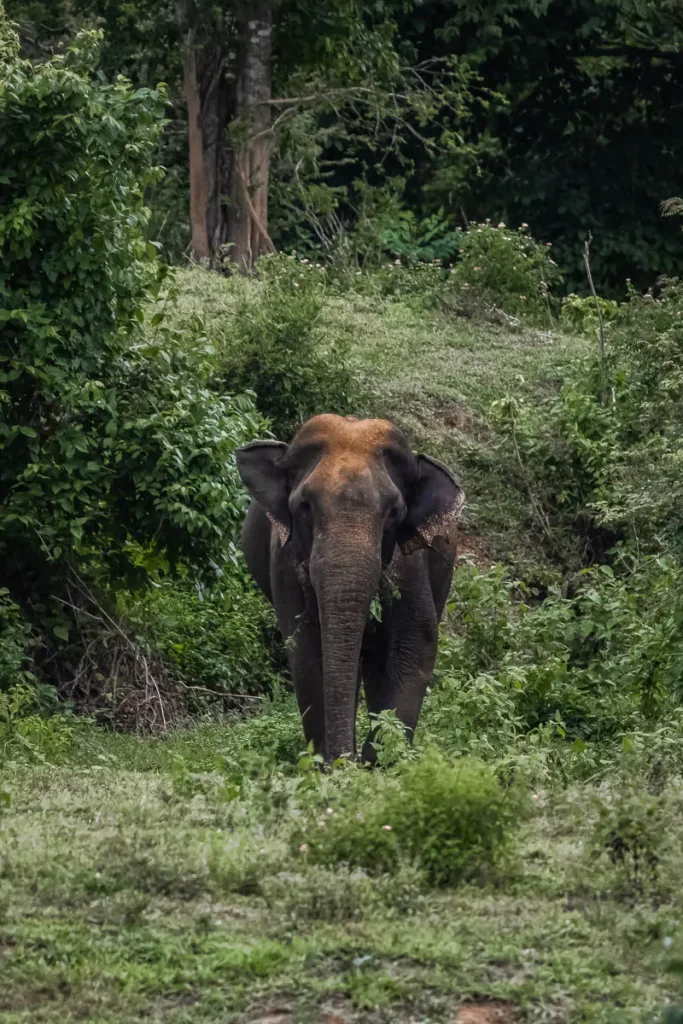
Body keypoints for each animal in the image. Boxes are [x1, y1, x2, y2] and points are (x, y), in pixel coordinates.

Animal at [235, 413, 465, 763]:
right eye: (304, 506)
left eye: (395, 512)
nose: (347, 760)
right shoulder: (284, 563)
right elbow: (307, 652)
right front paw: (331, 765)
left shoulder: (410, 565)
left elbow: (414, 648)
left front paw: (376, 761)